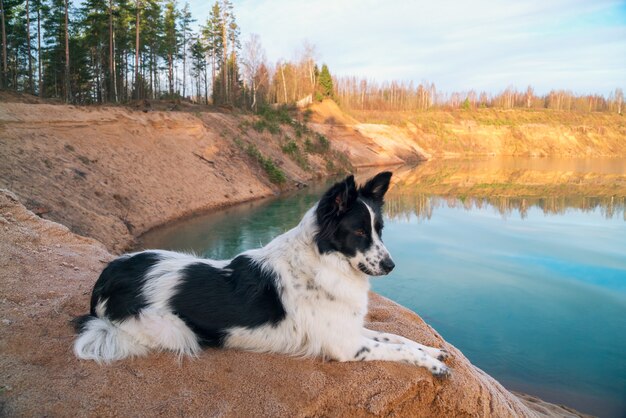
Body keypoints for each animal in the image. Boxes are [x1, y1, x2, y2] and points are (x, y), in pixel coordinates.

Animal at [74, 171, 448, 378]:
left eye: (379, 230)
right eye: (358, 232)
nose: (390, 265)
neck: (324, 261)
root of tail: (105, 277)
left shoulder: (350, 328)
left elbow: (396, 337)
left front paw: (434, 351)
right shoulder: (346, 345)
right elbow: (397, 349)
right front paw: (433, 365)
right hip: (173, 330)